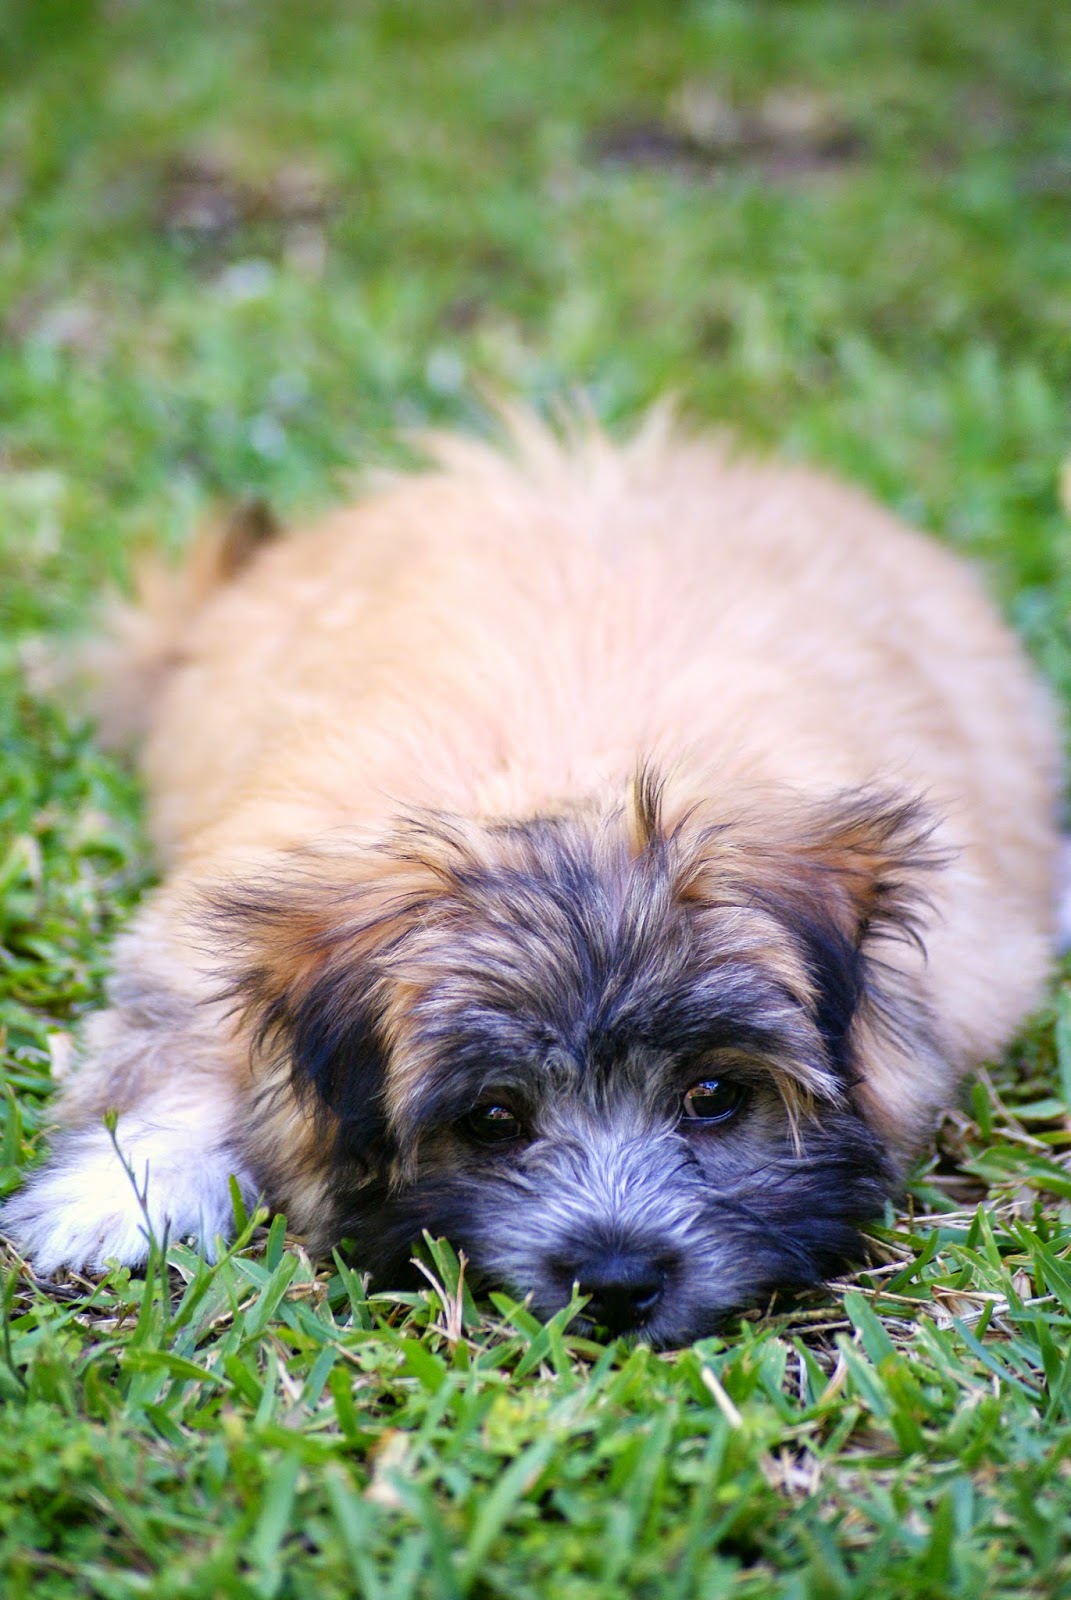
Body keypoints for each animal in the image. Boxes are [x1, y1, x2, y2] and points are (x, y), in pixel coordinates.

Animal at [2, 416, 1062, 1350]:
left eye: (713, 1097)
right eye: (493, 1120)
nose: (619, 1283)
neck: (567, 786)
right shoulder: (202, 932)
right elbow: (173, 1050)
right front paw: (116, 1195)